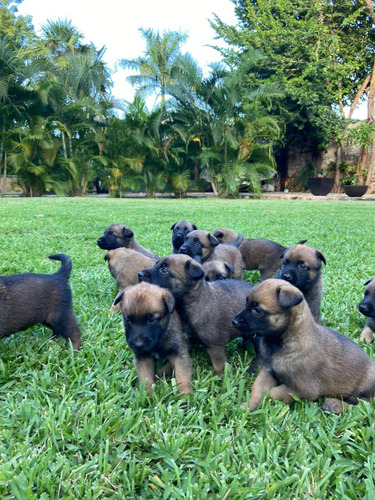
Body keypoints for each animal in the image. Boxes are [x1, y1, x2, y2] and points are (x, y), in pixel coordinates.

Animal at [232, 278, 375, 414]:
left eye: (257, 310)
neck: (282, 342)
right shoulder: (268, 372)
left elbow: (272, 393)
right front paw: (247, 406)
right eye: (246, 303)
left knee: (361, 404)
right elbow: (257, 389)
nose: (234, 321)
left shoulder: (303, 390)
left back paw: (335, 404)